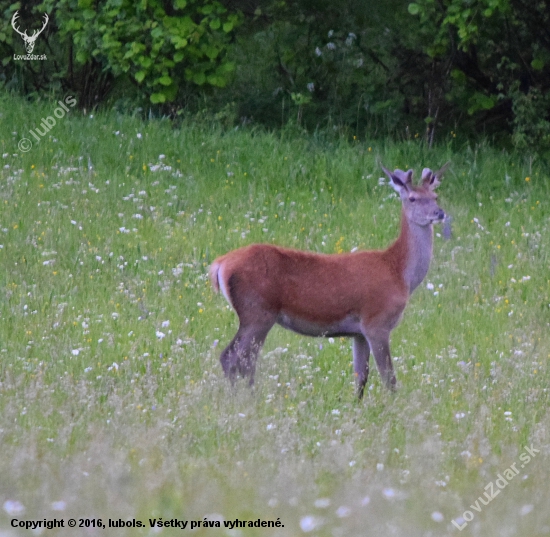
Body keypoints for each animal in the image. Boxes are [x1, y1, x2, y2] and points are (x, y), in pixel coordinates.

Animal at [210, 164, 448, 398]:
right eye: (413, 198)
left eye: (435, 196)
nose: (440, 213)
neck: (399, 272)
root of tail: (220, 264)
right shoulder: (377, 321)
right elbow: (389, 378)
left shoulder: (358, 332)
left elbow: (361, 377)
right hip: (257, 311)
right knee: (234, 357)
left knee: (242, 359)